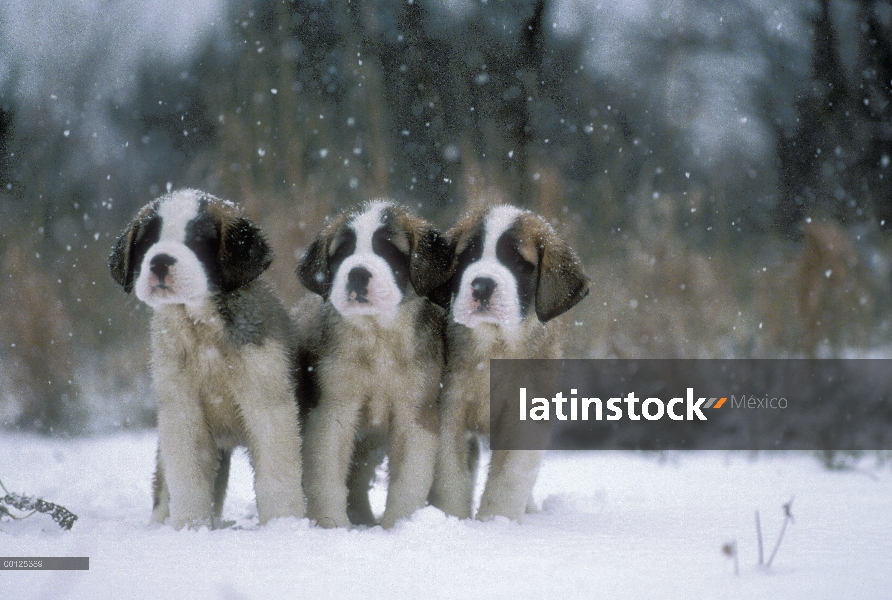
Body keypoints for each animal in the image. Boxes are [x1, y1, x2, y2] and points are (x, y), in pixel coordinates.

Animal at [106, 189, 304, 528]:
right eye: (147, 242)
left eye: (196, 240)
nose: (160, 262)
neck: (203, 330)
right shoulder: (181, 410)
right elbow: (189, 477)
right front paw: (191, 528)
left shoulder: (268, 401)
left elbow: (277, 473)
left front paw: (284, 525)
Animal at [298, 199, 452, 528]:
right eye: (342, 252)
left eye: (389, 250)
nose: (357, 273)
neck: (378, 336)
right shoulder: (333, 409)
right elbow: (326, 477)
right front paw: (333, 526)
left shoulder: (416, 414)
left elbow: (408, 481)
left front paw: (398, 526)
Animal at [428, 205, 588, 520]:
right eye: (467, 257)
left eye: (516, 261)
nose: (481, 285)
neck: (496, 345)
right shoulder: (450, 410)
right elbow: (450, 476)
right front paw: (453, 519)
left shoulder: (527, 417)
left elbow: (509, 479)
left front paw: (495, 522)